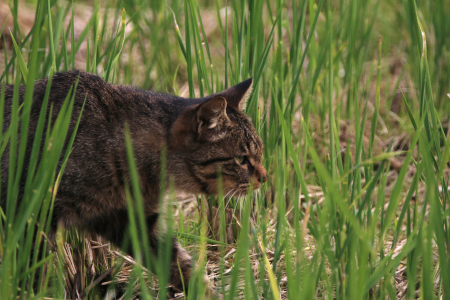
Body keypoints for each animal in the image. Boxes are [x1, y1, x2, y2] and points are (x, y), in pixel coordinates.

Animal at [0, 70, 268, 298]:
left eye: (260, 152)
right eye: (242, 159)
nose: (265, 177)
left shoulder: (135, 221)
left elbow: (181, 265)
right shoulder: (32, 216)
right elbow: (31, 274)